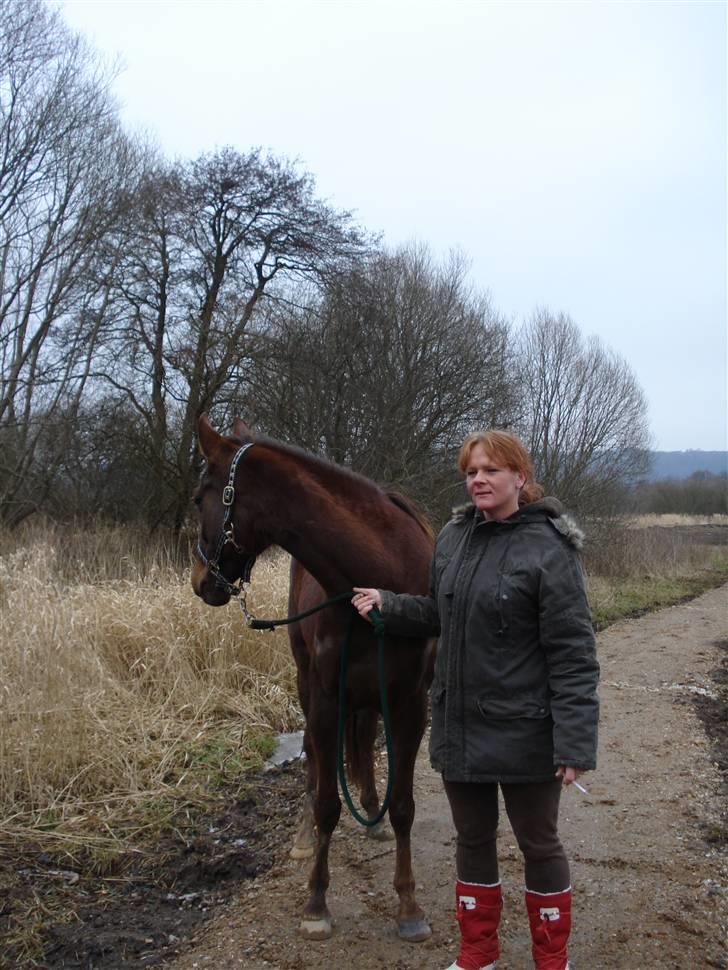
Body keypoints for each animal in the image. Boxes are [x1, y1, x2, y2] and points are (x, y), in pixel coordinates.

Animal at [191, 414, 436, 936]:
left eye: (200, 497)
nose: (200, 581)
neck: (377, 577)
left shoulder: (411, 703)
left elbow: (403, 805)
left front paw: (408, 904)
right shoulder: (326, 697)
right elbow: (326, 800)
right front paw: (317, 901)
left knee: (362, 742)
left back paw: (370, 806)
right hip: (308, 685)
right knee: (313, 760)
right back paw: (307, 834)